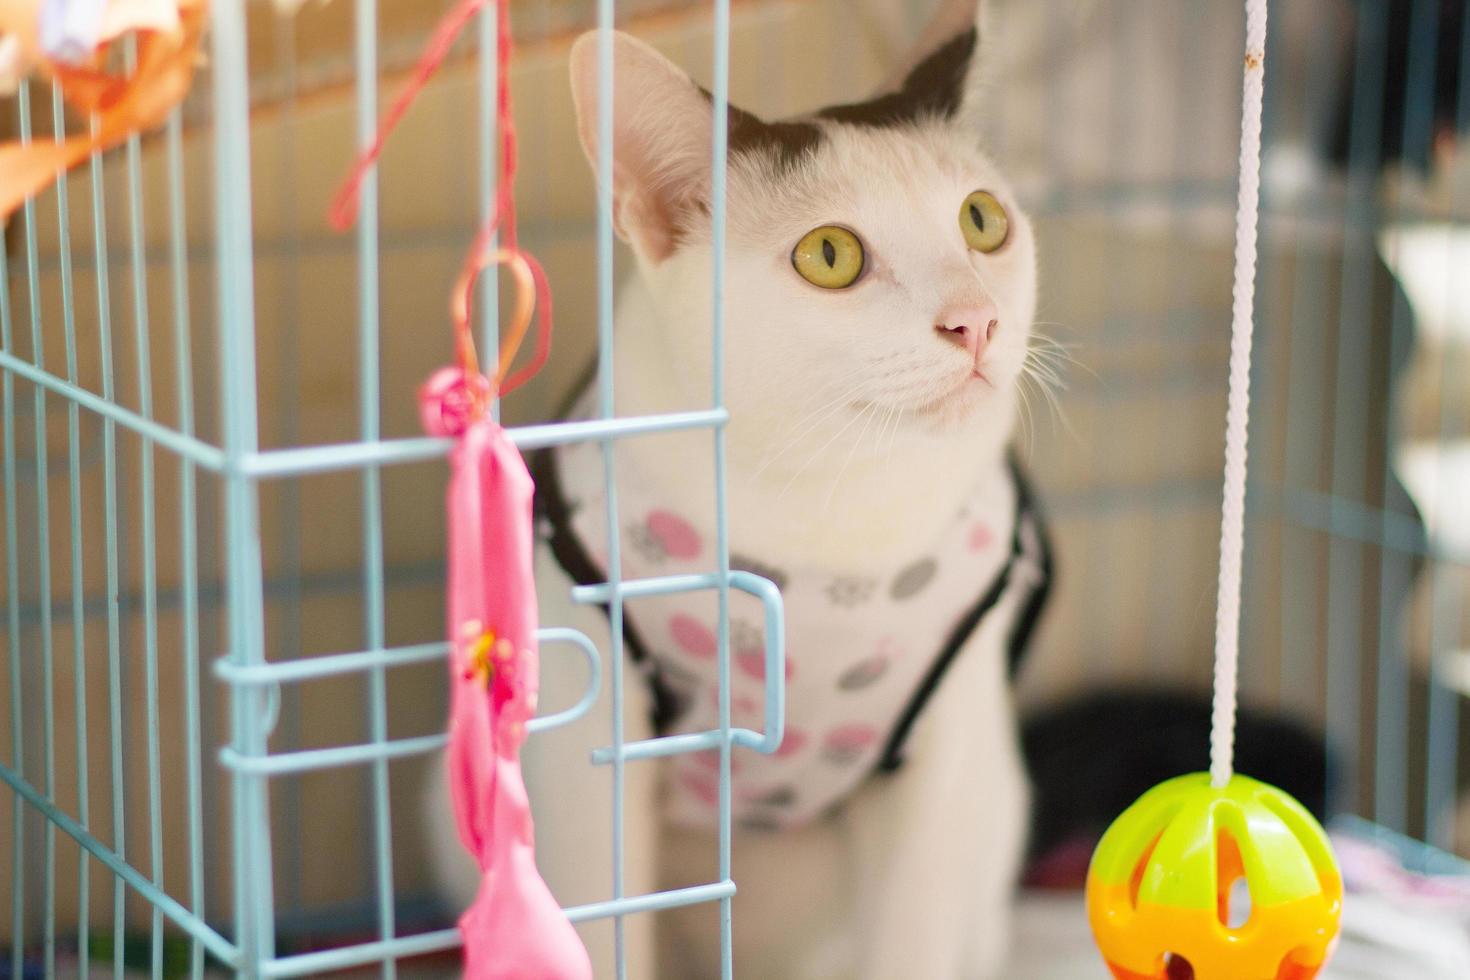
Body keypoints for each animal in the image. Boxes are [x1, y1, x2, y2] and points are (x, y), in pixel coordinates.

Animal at [420, 3, 1052, 975]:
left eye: (982, 221)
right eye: (830, 255)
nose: (974, 319)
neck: (828, 509)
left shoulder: (949, 753)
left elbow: (916, 937)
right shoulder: (585, 742)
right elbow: (605, 926)